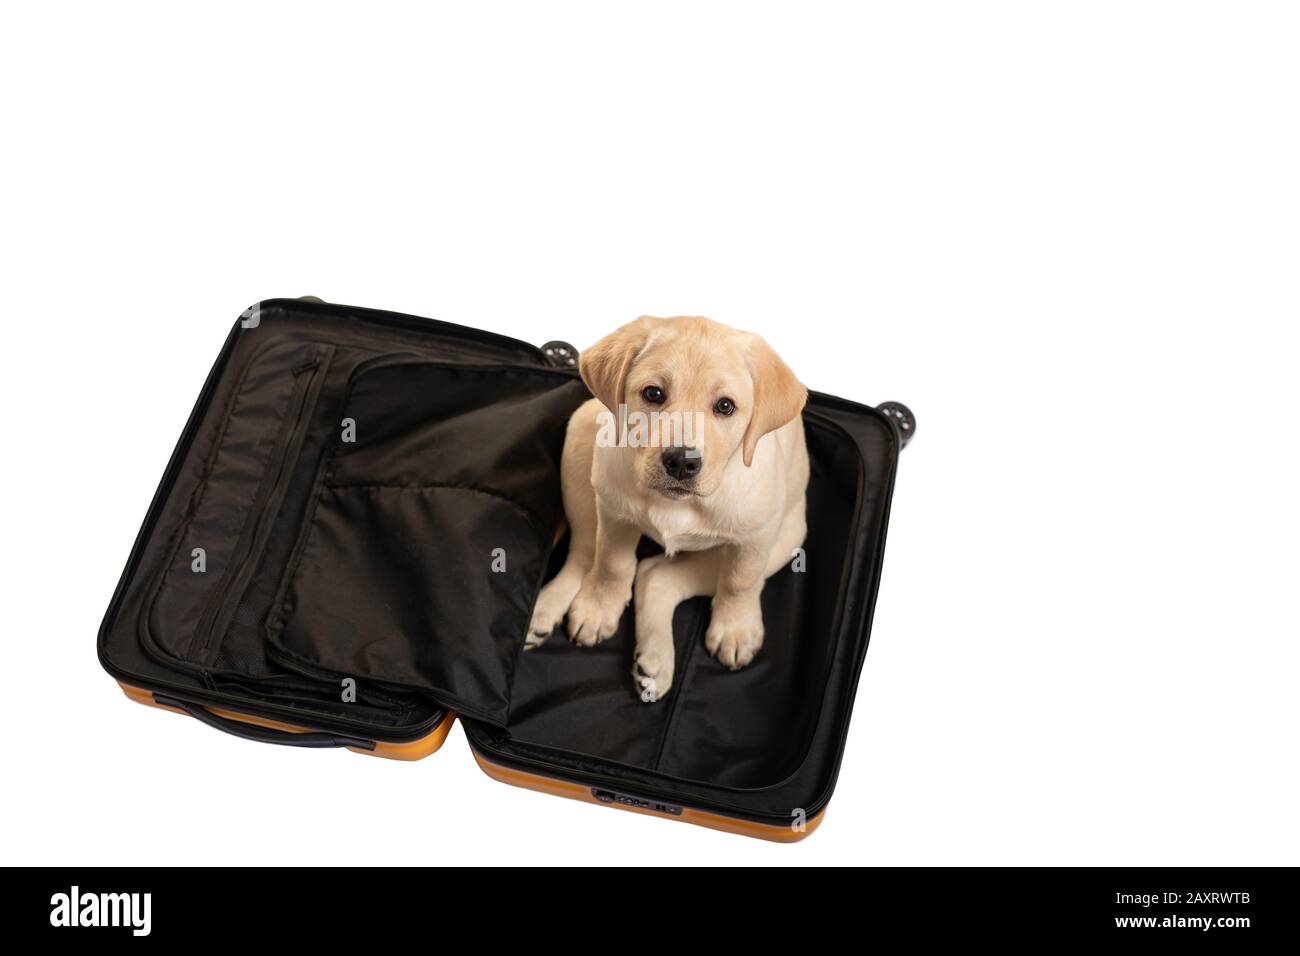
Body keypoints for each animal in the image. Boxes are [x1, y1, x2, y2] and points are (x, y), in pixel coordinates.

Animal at [522, 316, 806, 702]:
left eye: (726, 406)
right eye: (653, 394)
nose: (682, 462)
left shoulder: (756, 536)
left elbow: (740, 581)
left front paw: (736, 629)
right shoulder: (613, 510)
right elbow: (612, 563)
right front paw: (599, 607)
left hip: (787, 538)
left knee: (656, 576)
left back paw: (654, 664)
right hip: (583, 438)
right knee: (588, 554)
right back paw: (547, 611)